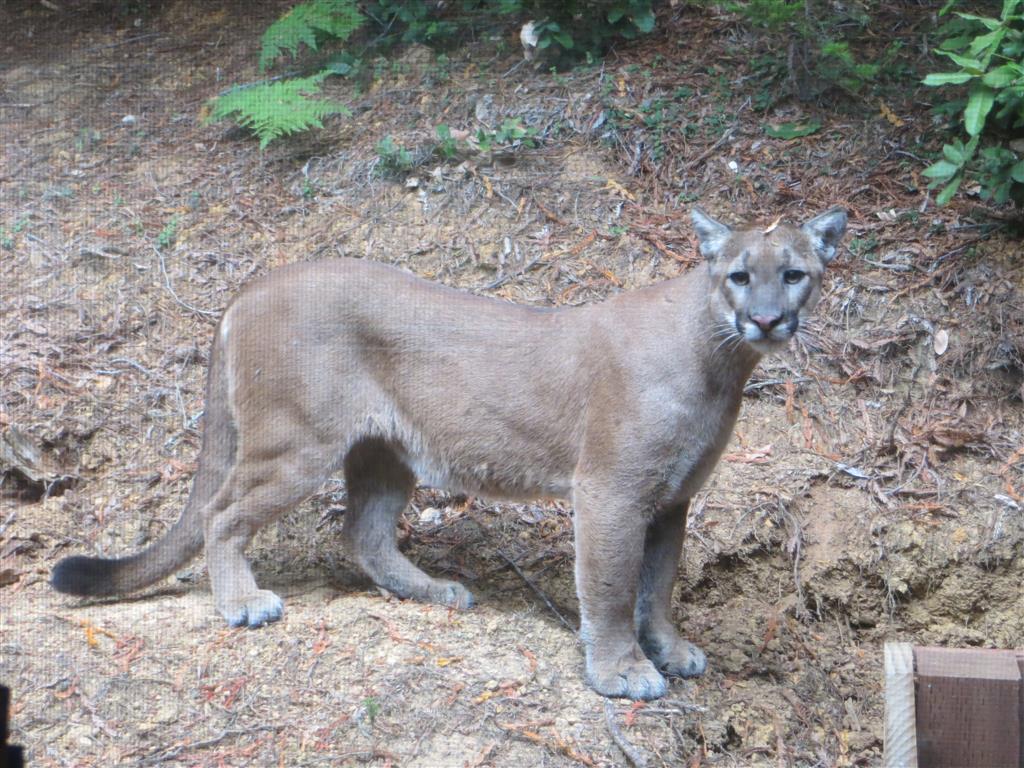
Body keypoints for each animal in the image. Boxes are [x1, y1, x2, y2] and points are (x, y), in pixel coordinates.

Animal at [49, 207, 847, 700]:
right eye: (739, 275)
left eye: (795, 273)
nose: (767, 319)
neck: (720, 359)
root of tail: (254, 284)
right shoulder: (612, 492)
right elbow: (614, 586)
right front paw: (621, 671)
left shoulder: (672, 499)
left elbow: (660, 582)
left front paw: (669, 649)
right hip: (297, 444)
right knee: (222, 514)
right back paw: (244, 604)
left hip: (385, 452)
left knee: (362, 533)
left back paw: (433, 592)